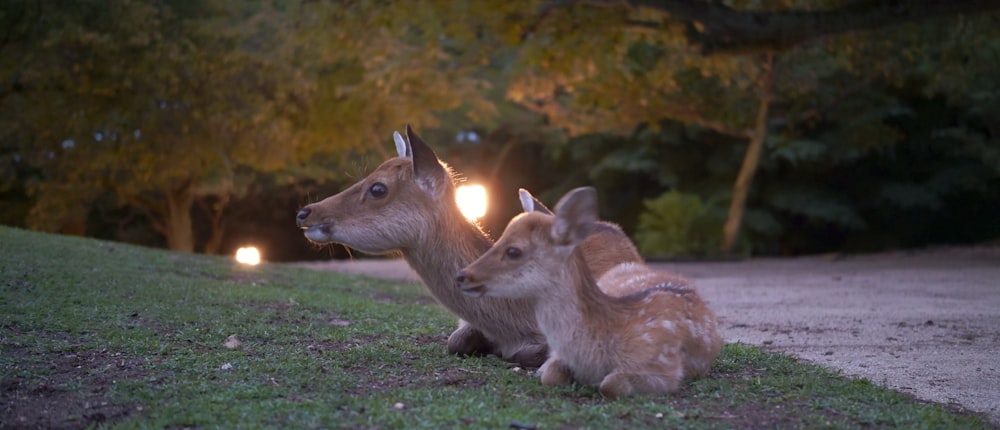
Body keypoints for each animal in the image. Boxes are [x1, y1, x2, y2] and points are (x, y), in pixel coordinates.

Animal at [458, 188, 724, 400]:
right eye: (498, 239)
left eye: (514, 251)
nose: (462, 275)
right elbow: (551, 375)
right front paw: (542, 371)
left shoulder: (666, 368)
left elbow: (611, 384)